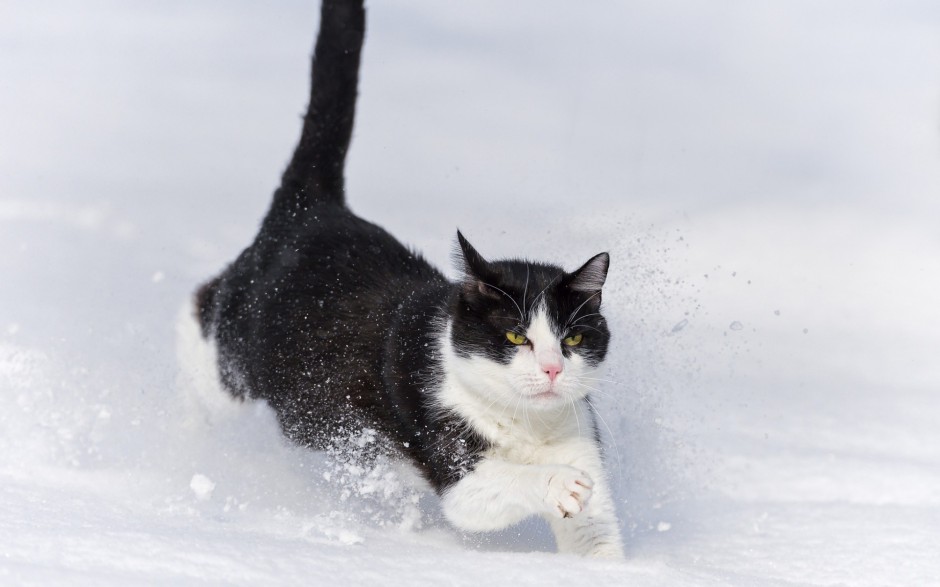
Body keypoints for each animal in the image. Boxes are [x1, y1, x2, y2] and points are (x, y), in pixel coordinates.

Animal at [192, 0, 624, 560]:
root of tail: (314, 207)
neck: (527, 428)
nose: (552, 370)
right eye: (515, 336)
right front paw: (560, 483)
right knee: (199, 312)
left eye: (572, 339)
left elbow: (597, 538)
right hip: (235, 350)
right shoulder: (443, 441)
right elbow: (488, 489)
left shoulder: (579, 435)